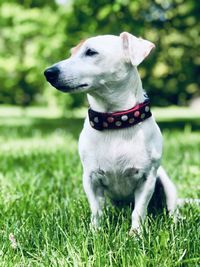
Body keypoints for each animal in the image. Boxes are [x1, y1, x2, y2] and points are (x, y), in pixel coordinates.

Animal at [43, 32, 177, 236]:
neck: (115, 121)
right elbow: (96, 210)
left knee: (172, 208)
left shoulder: (147, 179)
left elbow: (139, 211)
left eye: (91, 52)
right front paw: (95, 233)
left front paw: (135, 235)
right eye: (71, 53)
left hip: (166, 183)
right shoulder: (90, 179)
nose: (48, 72)